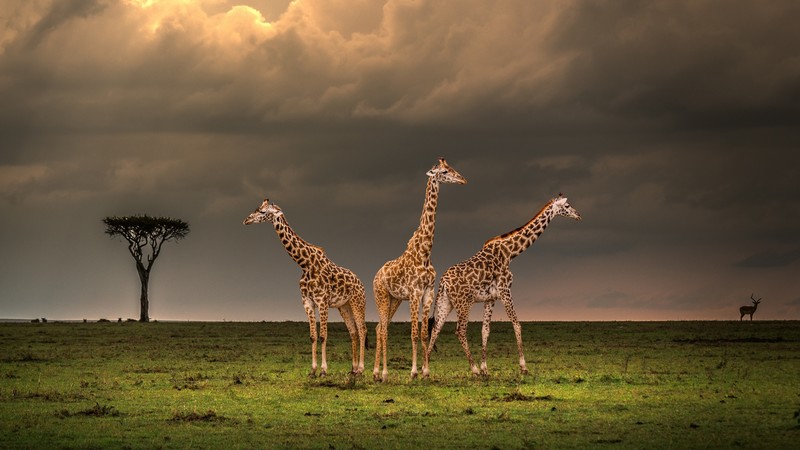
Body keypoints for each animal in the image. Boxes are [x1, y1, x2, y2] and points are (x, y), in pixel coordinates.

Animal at [244, 199, 367, 377]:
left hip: (358, 302)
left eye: (262, 212)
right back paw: (353, 368)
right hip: (344, 306)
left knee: (362, 330)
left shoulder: (322, 301)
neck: (305, 264)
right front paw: (313, 370)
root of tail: (361, 282)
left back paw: (361, 369)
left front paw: (323, 370)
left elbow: (323, 336)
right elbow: (313, 336)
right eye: (257, 208)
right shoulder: (307, 302)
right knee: (354, 332)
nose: (246, 220)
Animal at [373, 158, 467, 382]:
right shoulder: (415, 293)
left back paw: (376, 372)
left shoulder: (428, 293)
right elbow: (414, 333)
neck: (425, 253)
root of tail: (376, 275)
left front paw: (426, 372)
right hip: (381, 296)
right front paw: (413, 372)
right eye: (444, 172)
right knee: (383, 330)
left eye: (451, 168)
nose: (463, 180)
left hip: (394, 299)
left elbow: (424, 334)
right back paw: (383, 373)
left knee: (380, 327)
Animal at [423, 194, 581, 378]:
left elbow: (485, 330)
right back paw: (473, 369)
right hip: (464, 303)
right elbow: (517, 324)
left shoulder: (490, 298)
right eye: (567, 206)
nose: (578, 215)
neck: (510, 253)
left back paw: (426, 370)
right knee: (460, 331)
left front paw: (485, 368)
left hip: (445, 302)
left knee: (436, 329)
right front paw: (523, 367)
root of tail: (443, 281)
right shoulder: (506, 291)